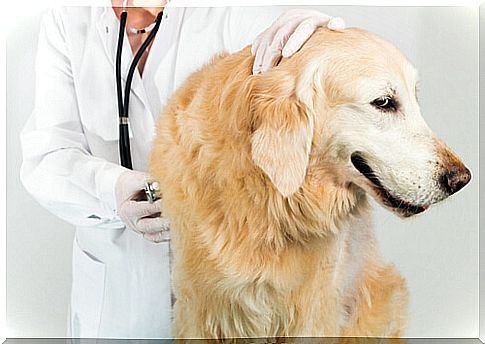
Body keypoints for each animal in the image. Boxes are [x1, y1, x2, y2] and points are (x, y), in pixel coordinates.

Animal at [147, 27, 468, 338]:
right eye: (384, 103)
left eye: (415, 98)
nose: (462, 179)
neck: (270, 204)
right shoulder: (198, 308)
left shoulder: (313, 308)